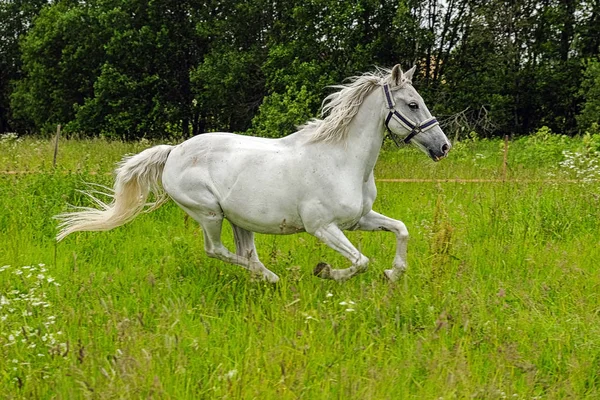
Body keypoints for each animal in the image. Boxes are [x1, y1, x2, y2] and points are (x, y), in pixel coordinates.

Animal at [56, 65, 450, 282]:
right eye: (412, 104)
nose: (443, 146)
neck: (341, 160)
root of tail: (173, 152)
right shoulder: (323, 227)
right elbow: (360, 262)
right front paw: (325, 270)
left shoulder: (359, 219)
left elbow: (401, 230)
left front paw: (393, 273)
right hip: (209, 213)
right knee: (217, 250)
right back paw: (271, 277)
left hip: (238, 218)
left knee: (245, 253)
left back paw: (266, 279)